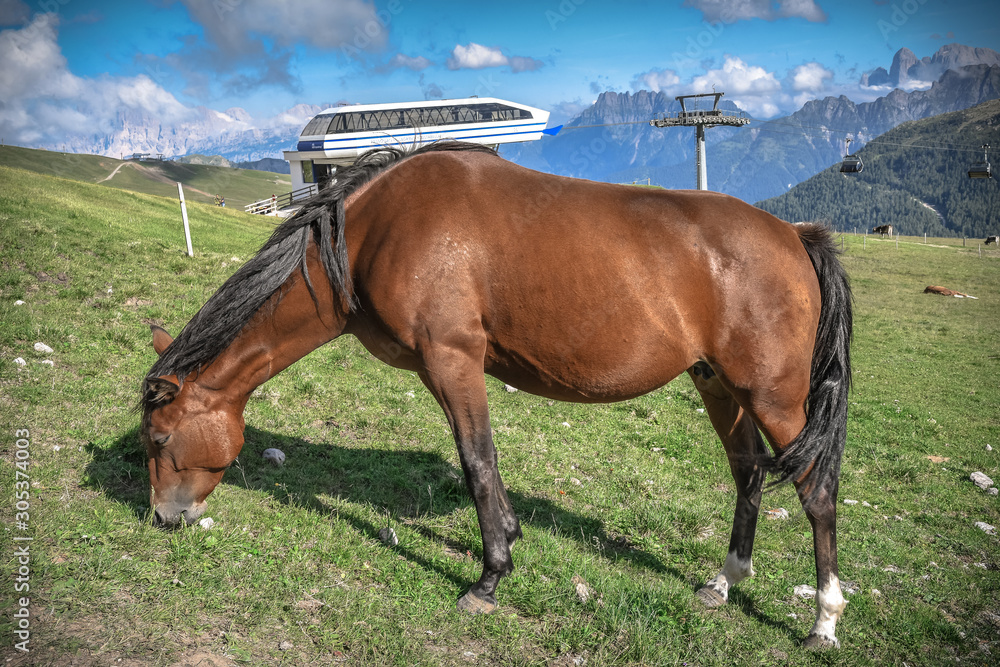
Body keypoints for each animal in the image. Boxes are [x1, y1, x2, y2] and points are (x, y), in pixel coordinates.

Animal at [140, 142, 852, 649]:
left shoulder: (452, 361)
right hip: (719, 386)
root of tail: (794, 235)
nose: (164, 518)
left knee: (815, 490)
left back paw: (824, 620)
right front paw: (507, 540)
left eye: (159, 437)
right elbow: (482, 463)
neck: (377, 228)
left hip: (774, 399)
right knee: (748, 473)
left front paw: (488, 578)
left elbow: (477, 461)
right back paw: (724, 583)